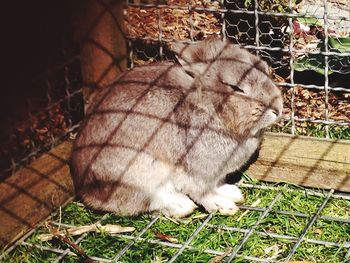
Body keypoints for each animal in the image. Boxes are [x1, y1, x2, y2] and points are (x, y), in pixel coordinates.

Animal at [72, 37, 284, 219]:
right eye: (236, 88)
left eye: (264, 68)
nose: (278, 108)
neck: (208, 106)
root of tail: (85, 190)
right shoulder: (196, 173)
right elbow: (202, 193)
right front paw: (223, 205)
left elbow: (218, 184)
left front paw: (232, 192)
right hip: (140, 175)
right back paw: (182, 205)